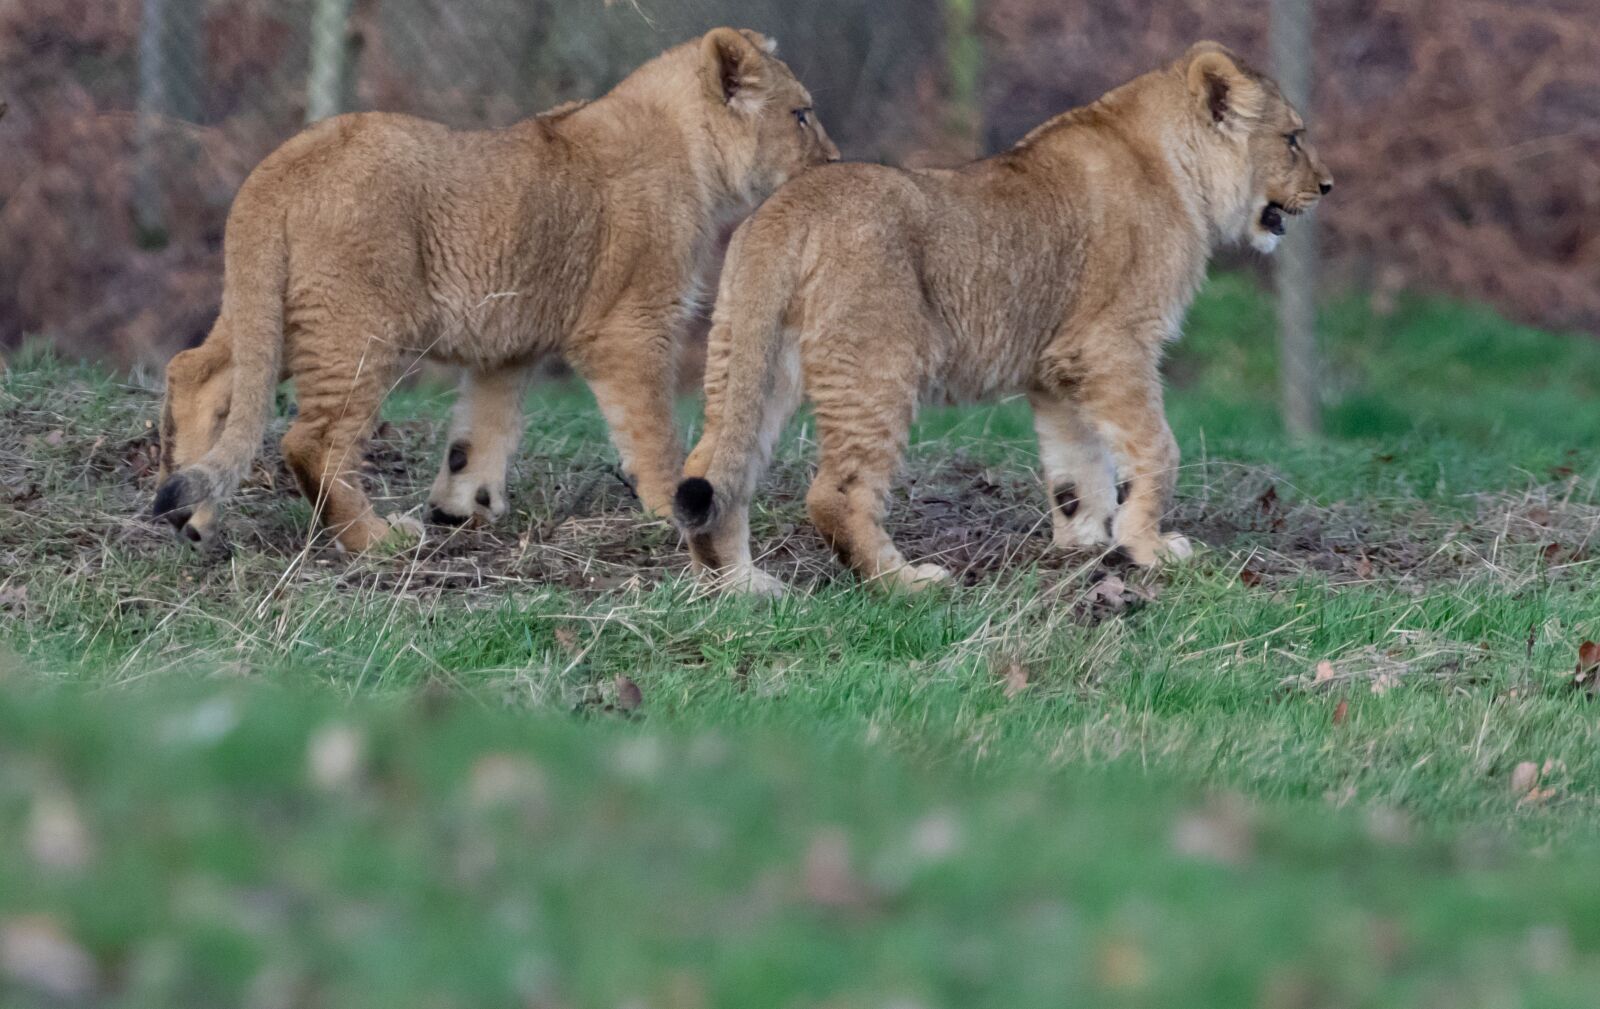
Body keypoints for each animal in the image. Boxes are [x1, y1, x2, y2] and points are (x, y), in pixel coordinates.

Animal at [154, 28, 837, 552]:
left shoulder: (508, 341)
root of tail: (288, 157)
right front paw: (676, 508)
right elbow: (653, 429)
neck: (690, 149)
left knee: (198, 371)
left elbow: (482, 431)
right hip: (359, 323)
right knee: (312, 439)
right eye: (801, 114)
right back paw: (375, 540)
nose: (834, 162)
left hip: (274, 309)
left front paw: (463, 507)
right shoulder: (630, 325)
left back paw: (191, 515)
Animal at [675, 42, 1333, 594]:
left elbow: (1077, 469)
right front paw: (1148, 548)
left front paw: (1084, 546)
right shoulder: (1113, 344)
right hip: (877, 366)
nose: (1327, 186)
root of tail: (790, 206)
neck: (1175, 167)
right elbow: (1156, 448)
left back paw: (739, 587)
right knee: (835, 493)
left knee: (712, 468)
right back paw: (905, 583)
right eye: (1293, 138)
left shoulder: (1058, 367)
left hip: (751, 355)